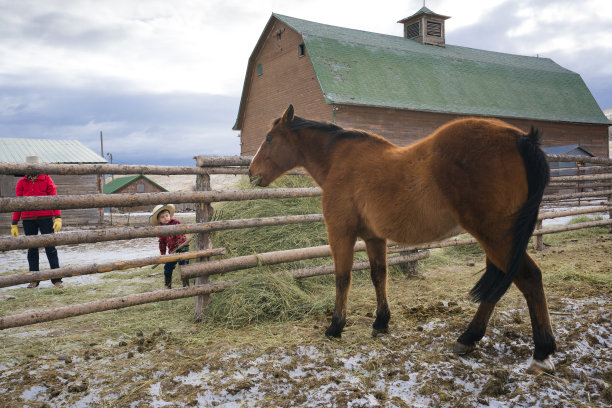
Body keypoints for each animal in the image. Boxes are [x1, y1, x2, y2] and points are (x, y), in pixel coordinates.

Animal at [247, 105, 556, 372]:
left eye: (269, 138)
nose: (251, 173)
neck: (339, 160)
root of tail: (522, 138)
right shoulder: (374, 237)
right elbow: (379, 275)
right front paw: (381, 322)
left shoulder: (341, 233)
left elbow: (342, 278)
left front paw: (335, 327)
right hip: (498, 241)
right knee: (501, 284)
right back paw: (469, 338)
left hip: (497, 237)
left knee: (529, 278)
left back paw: (541, 352)